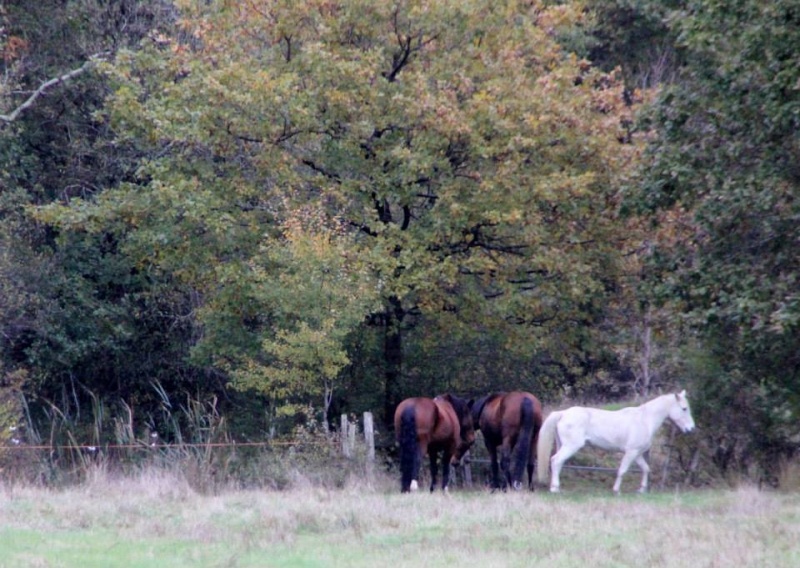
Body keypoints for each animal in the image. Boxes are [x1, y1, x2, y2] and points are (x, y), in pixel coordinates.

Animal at [536, 390, 692, 492]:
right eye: (684, 409)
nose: (691, 429)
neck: (645, 419)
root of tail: (563, 413)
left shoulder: (637, 454)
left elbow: (646, 469)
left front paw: (642, 489)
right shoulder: (631, 452)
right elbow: (622, 470)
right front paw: (616, 490)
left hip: (562, 445)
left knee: (558, 463)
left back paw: (555, 486)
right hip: (571, 446)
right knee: (556, 461)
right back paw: (554, 489)